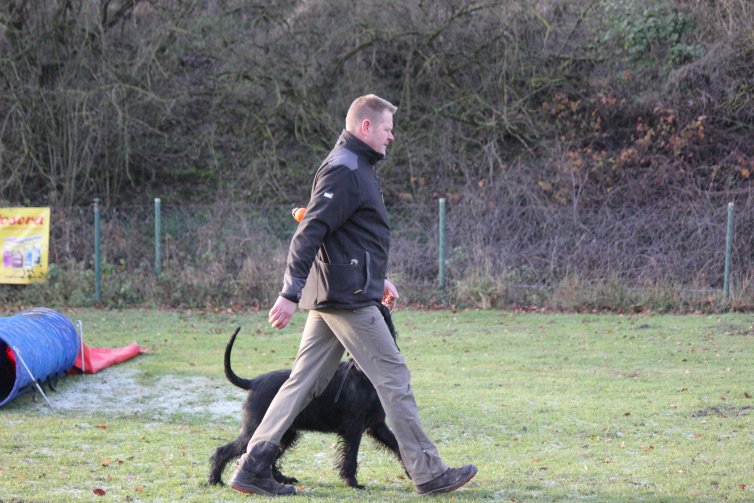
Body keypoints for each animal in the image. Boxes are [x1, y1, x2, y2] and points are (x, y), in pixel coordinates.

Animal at [206, 306, 406, 490]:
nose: (384, 302)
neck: (363, 372)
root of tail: (254, 382)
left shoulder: (376, 424)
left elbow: (397, 444)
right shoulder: (354, 427)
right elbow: (350, 456)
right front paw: (352, 482)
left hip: (286, 433)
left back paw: (281, 479)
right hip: (255, 428)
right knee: (225, 450)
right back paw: (215, 480)